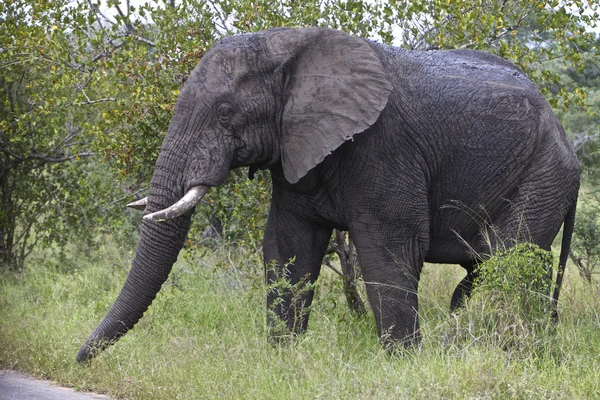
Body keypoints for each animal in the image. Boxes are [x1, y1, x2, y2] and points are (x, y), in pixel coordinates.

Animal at [75, 26, 580, 360]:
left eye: (224, 113)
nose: (78, 358)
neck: (289, 46)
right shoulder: (294, 150)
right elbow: (290, 247)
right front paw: (282, 361)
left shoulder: (385, 147)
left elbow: (389, 249)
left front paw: (403, 364)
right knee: (489, 269)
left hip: (543, 174)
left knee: (506, 260)